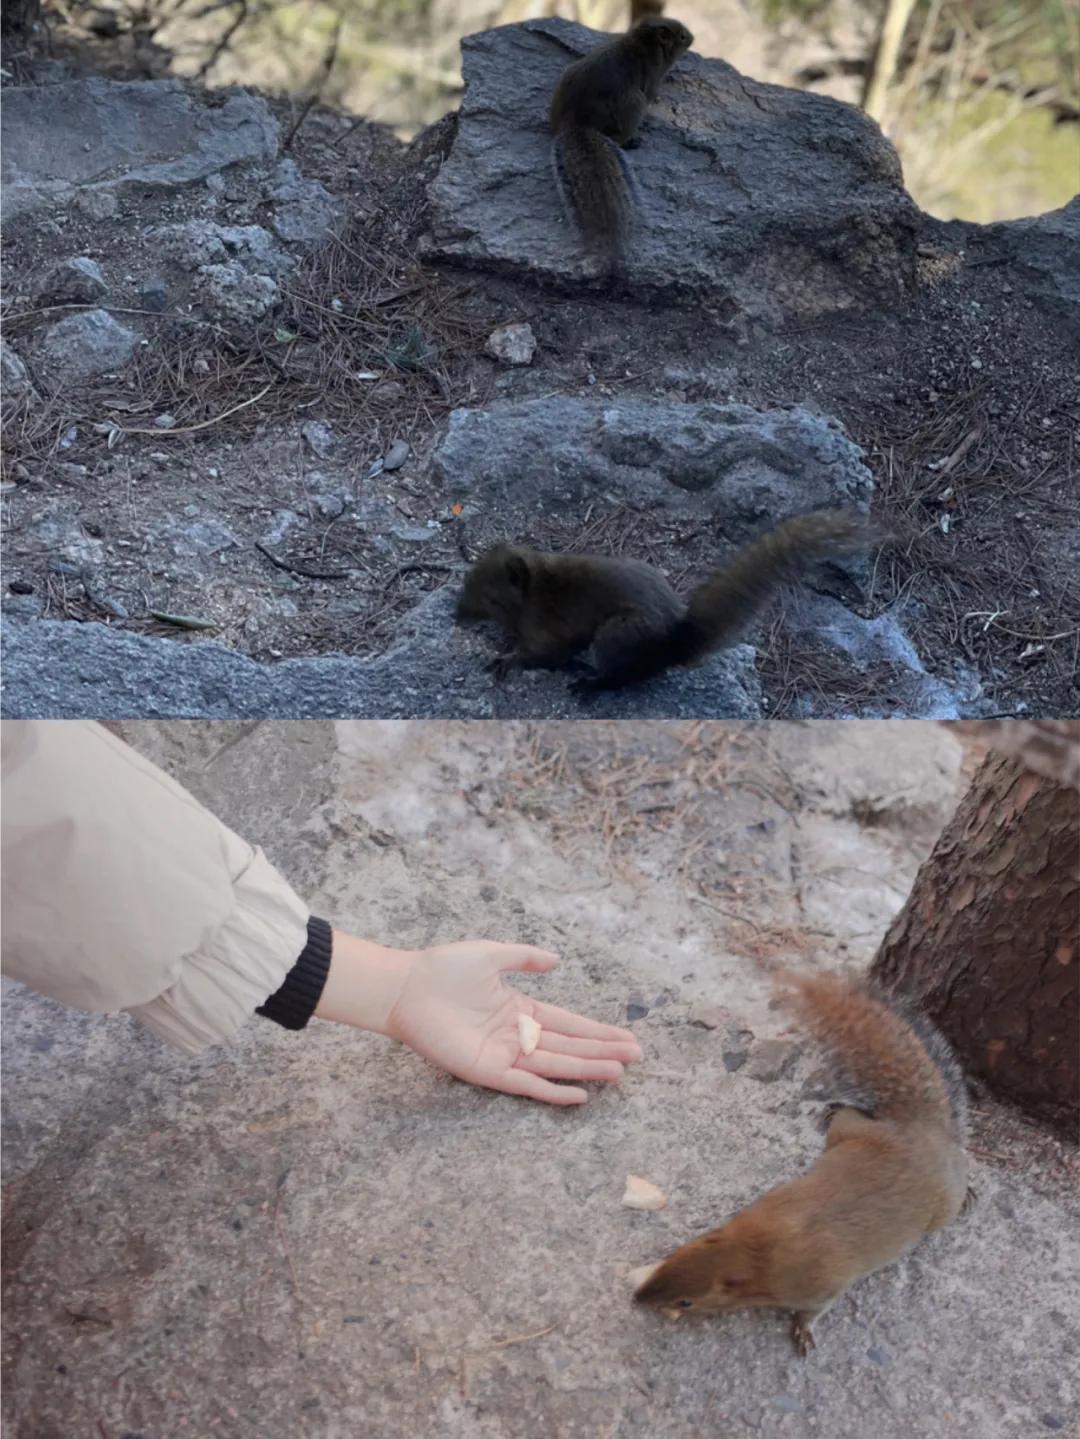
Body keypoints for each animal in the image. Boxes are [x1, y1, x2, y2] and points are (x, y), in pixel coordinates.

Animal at [457, 512, 880, 690]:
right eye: (466, 578)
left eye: (491, 598)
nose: (457, 617)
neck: (531, 594)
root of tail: (673, 645)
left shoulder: (550, 630)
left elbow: (542, 654)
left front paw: (506, 661)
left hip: (617, 635)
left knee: (624, 677)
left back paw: (590, 684)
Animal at [552, 15, 696, 270]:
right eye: (680, 36)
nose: (692, 38)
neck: (643, 41)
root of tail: (574, 123)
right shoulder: (652, 78)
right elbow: (653, 93)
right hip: (633, 104)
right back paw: (633, 141)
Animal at [632, 972, 972, 1352]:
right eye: (672, 1256)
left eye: (686, 1301)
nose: (637, 1299)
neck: (759, 1252)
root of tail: (917, 1126)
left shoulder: (822, 1284)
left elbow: (815, 1308)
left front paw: (803, 1330)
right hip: (852, 1133)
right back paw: (835, 1110)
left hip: (941, 1202)